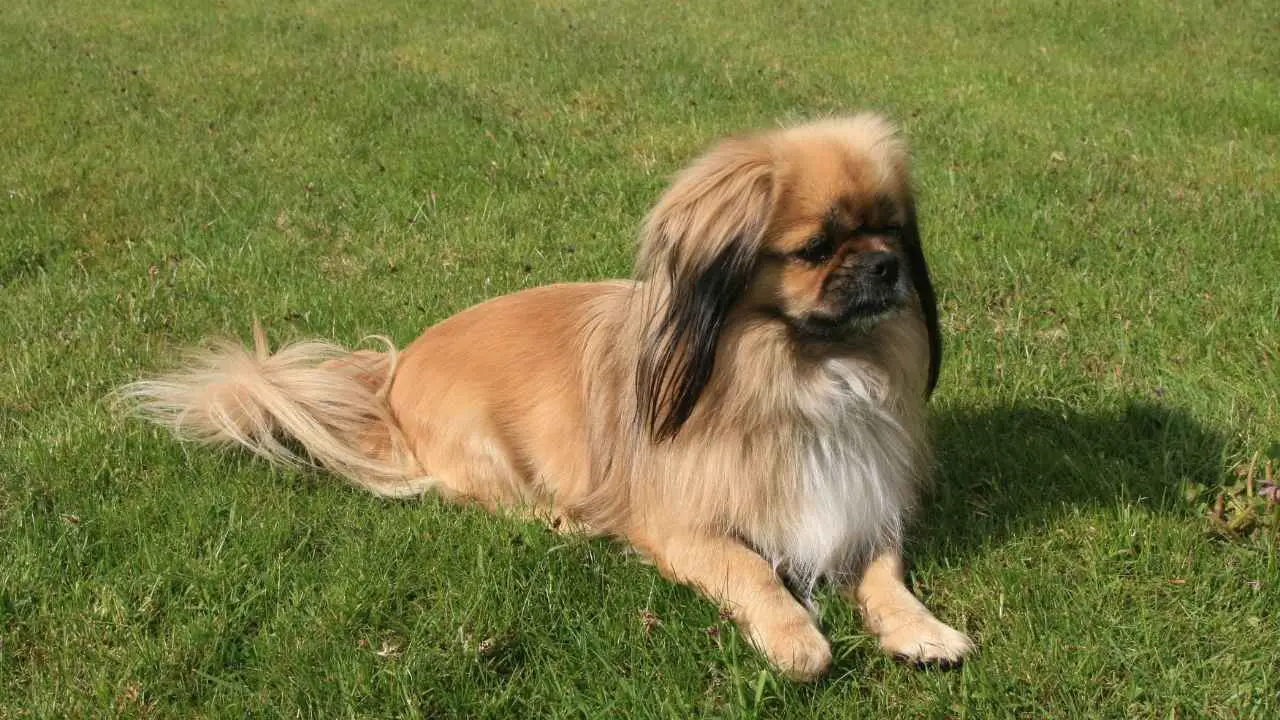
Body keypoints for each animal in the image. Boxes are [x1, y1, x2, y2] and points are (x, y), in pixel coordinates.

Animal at [124, 113, 972, 676]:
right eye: (817, 248)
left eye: (891, 231)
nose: (886, 265)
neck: (801, 370)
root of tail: (390, 377)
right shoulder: (682, 526)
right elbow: (751, 569)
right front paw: (796, 637)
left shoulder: (862, 501)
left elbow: (885, 574)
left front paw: (923, 631)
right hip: (485, 448)